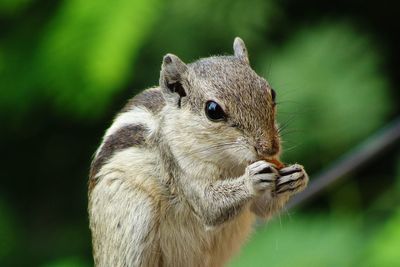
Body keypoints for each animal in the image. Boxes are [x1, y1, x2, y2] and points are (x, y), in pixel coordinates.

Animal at [88, 37, 310, 267]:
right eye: (213, 110)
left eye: (271, 92)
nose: (269, 148)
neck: (230, 163)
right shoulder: (179, 168)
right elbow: (208, 206)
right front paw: (252, 179)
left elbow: (262, 208)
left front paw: (298, 176)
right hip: (134, 217)